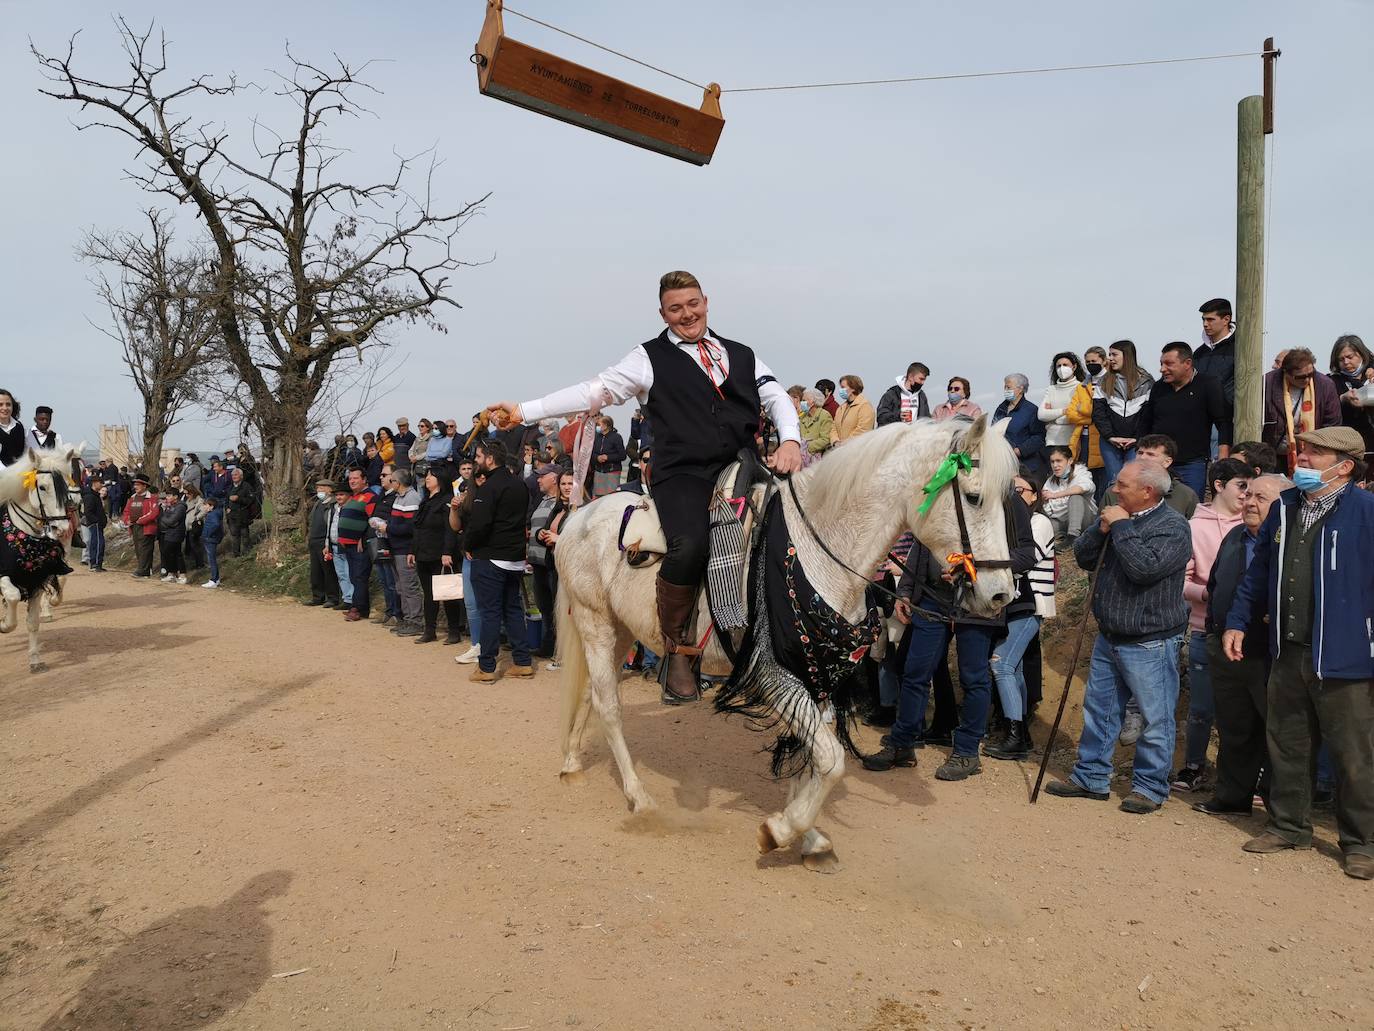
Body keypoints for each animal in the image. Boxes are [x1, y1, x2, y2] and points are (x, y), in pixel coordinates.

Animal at [1, 445, 81, 673]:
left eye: (65, 486)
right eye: (43, 487)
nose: (61, 527)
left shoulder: (37, 579)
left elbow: (32, 622)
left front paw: (35, 660)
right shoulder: (4, 575)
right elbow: (13, 596)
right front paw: (5, 625)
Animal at [555, 417, 1022, 874]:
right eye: (974, 497)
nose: (1001, 594)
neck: (817, 553)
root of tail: (579, 516)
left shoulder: (817, 672)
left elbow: (814, 758)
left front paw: (810, 837)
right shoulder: (774, 675)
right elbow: (831, 760)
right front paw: (781, 830)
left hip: (622, 631)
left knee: (592, 694)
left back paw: (572, 764)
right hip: (597, 622)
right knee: (609, 706)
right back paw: (639, 798)